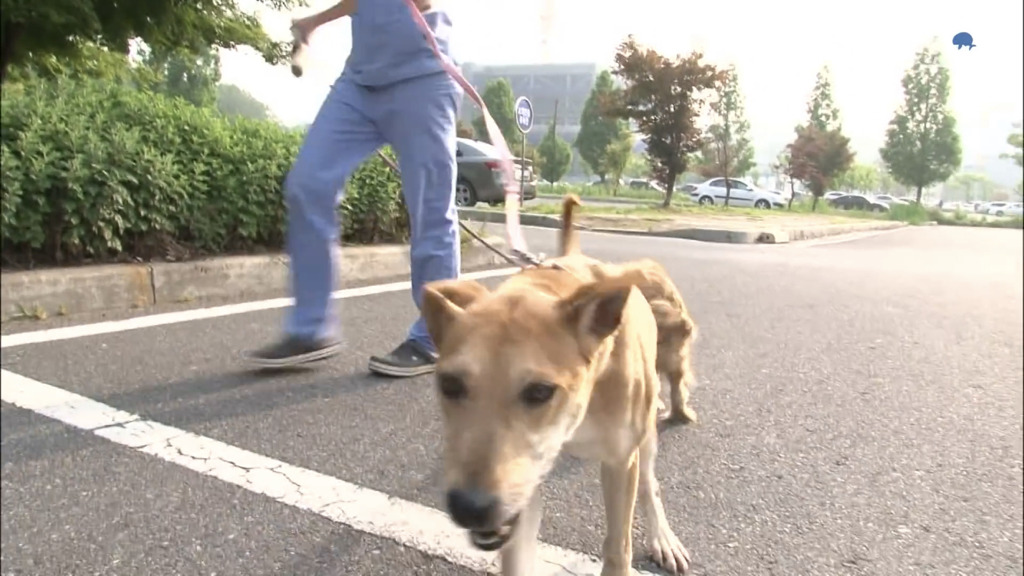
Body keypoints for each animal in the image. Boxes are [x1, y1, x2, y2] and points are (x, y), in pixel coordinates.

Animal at [419, 194, 692, 569]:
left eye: (540, 391)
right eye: (450, 385)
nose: (470, 508)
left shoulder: (621, 462)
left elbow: (618, 549)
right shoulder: (524, 486)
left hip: (645, 433)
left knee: (650, 482)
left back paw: (662, 537)